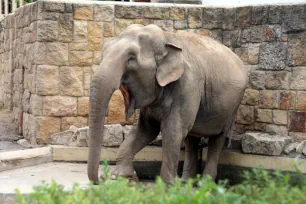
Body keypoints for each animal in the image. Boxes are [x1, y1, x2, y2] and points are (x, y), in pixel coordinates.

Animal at [86, 24, 249, 185]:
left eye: (131, 58)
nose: (100, 180)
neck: (167, 37)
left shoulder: (188, 85)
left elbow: (173, 131)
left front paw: (166, 186)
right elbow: (146, 130)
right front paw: (122, 177)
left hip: (232, 108)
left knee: (217, 139)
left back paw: (204, 184)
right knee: (191, 137)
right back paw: (186, 183)